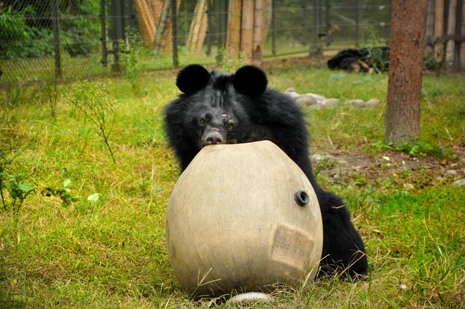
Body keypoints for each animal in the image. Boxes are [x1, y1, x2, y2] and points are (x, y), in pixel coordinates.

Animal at [165, 63, 368, 278]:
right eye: (202, 120)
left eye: (231, 123)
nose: (213, 138)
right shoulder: (185, 148)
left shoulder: (287, 132)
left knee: (338, 222)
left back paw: (353, 270)